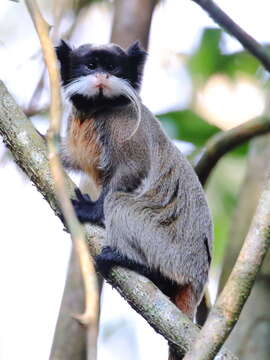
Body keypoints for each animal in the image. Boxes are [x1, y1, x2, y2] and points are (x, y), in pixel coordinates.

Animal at [57, 40, 213, 360]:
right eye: (90, 66)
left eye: (112, 67)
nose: (102, 77)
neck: (98, 109)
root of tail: (198, 277)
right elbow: (71, 158)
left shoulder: (125, 126)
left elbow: (131, 170)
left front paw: (92, 211)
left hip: (171, 249)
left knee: (119, 202)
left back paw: (136, 264)